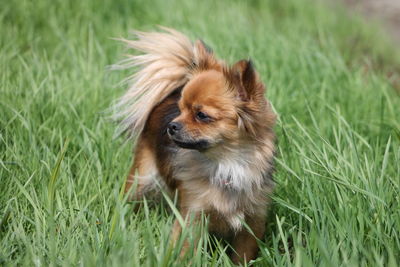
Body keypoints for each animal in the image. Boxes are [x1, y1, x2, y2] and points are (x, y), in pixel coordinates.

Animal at [112, 27, 276, 266]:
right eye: (180, 110)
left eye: (202, 115)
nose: (171, 126)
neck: (226, 165)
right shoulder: (193, 217)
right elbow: (184, 251)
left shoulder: (252, 222)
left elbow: (242, 256)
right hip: (141, 176)